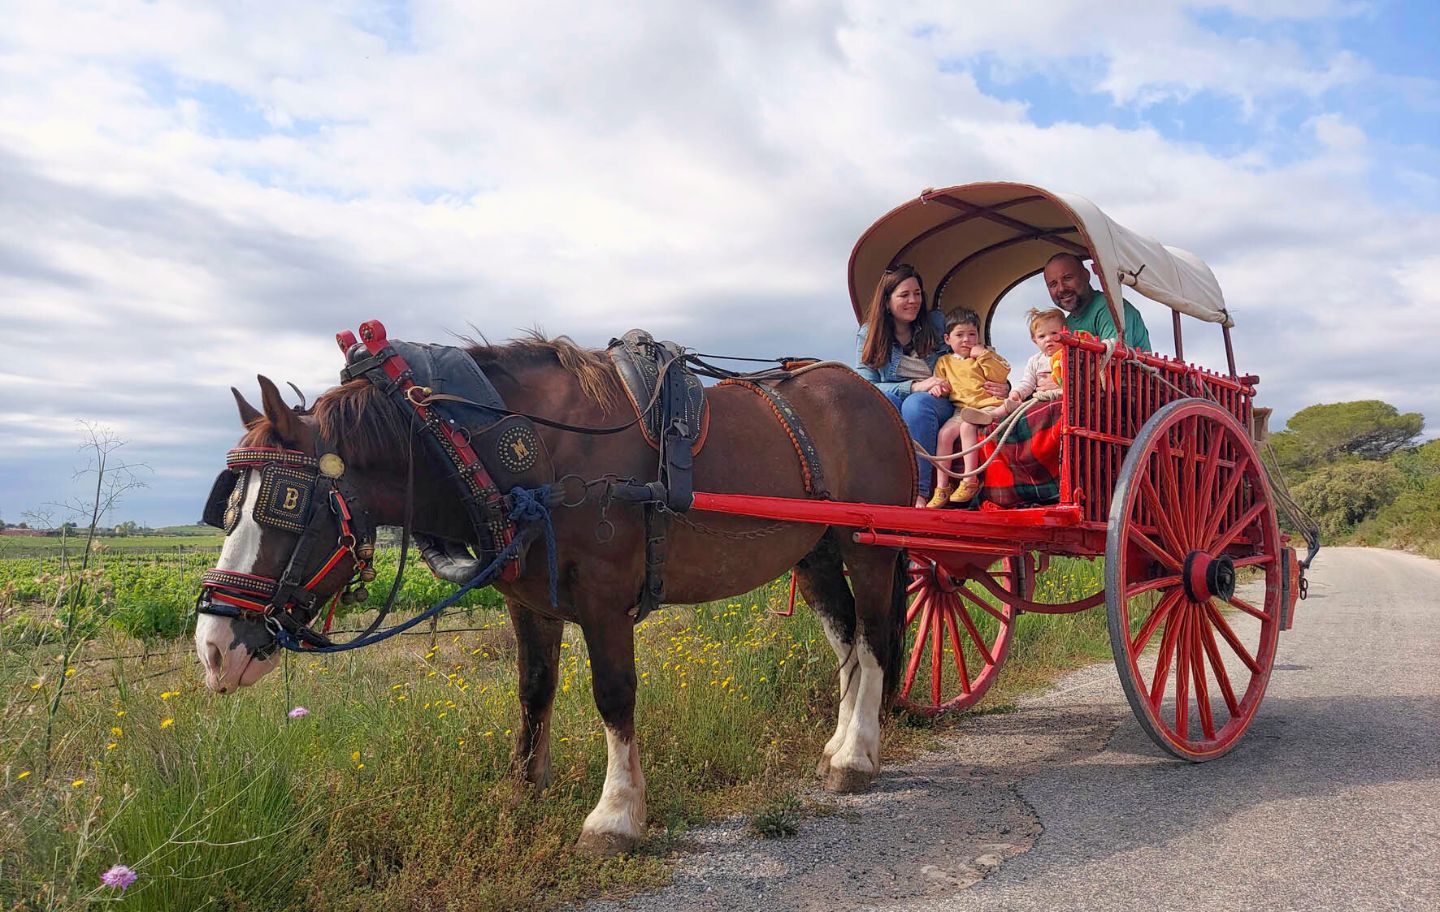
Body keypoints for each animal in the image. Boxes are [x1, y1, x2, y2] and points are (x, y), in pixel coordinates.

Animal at [194, 335, 910, 852]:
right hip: (816, 553)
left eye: (290, 504)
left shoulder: (604, 599)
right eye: (227, 506)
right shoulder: (530, 603)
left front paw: (615, 816)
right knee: (847, 643)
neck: (508, 451)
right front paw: (522, 790)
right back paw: (841, 743)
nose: (214, 647)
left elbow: (613, 696)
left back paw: (857, 756)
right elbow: (533, 690)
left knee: (875, 641)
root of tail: (874, 399)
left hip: (870, 547)